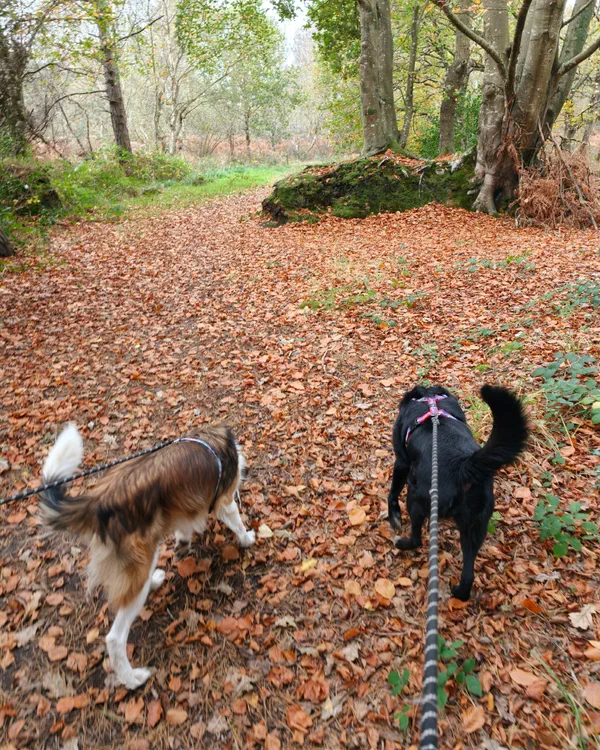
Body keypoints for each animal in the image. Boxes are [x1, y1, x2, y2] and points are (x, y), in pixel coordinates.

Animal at [39, 424, 255, 689]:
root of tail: (96, 504)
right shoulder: (224, 500)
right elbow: (237, 523)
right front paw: (247, 539)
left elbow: (184, 528)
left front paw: (184, 542)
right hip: (140, 561)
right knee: (115, 638)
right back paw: (132, 679)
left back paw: (155, 580)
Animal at [387, 384, 528, 601]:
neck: (430, 400)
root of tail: (463, 465)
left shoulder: (401, 461)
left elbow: (393, 491)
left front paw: (393, 516)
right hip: (475, 525)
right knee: (469, 572)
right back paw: (460, 592)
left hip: (416, 500)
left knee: (417, 539)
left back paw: (403, 543)